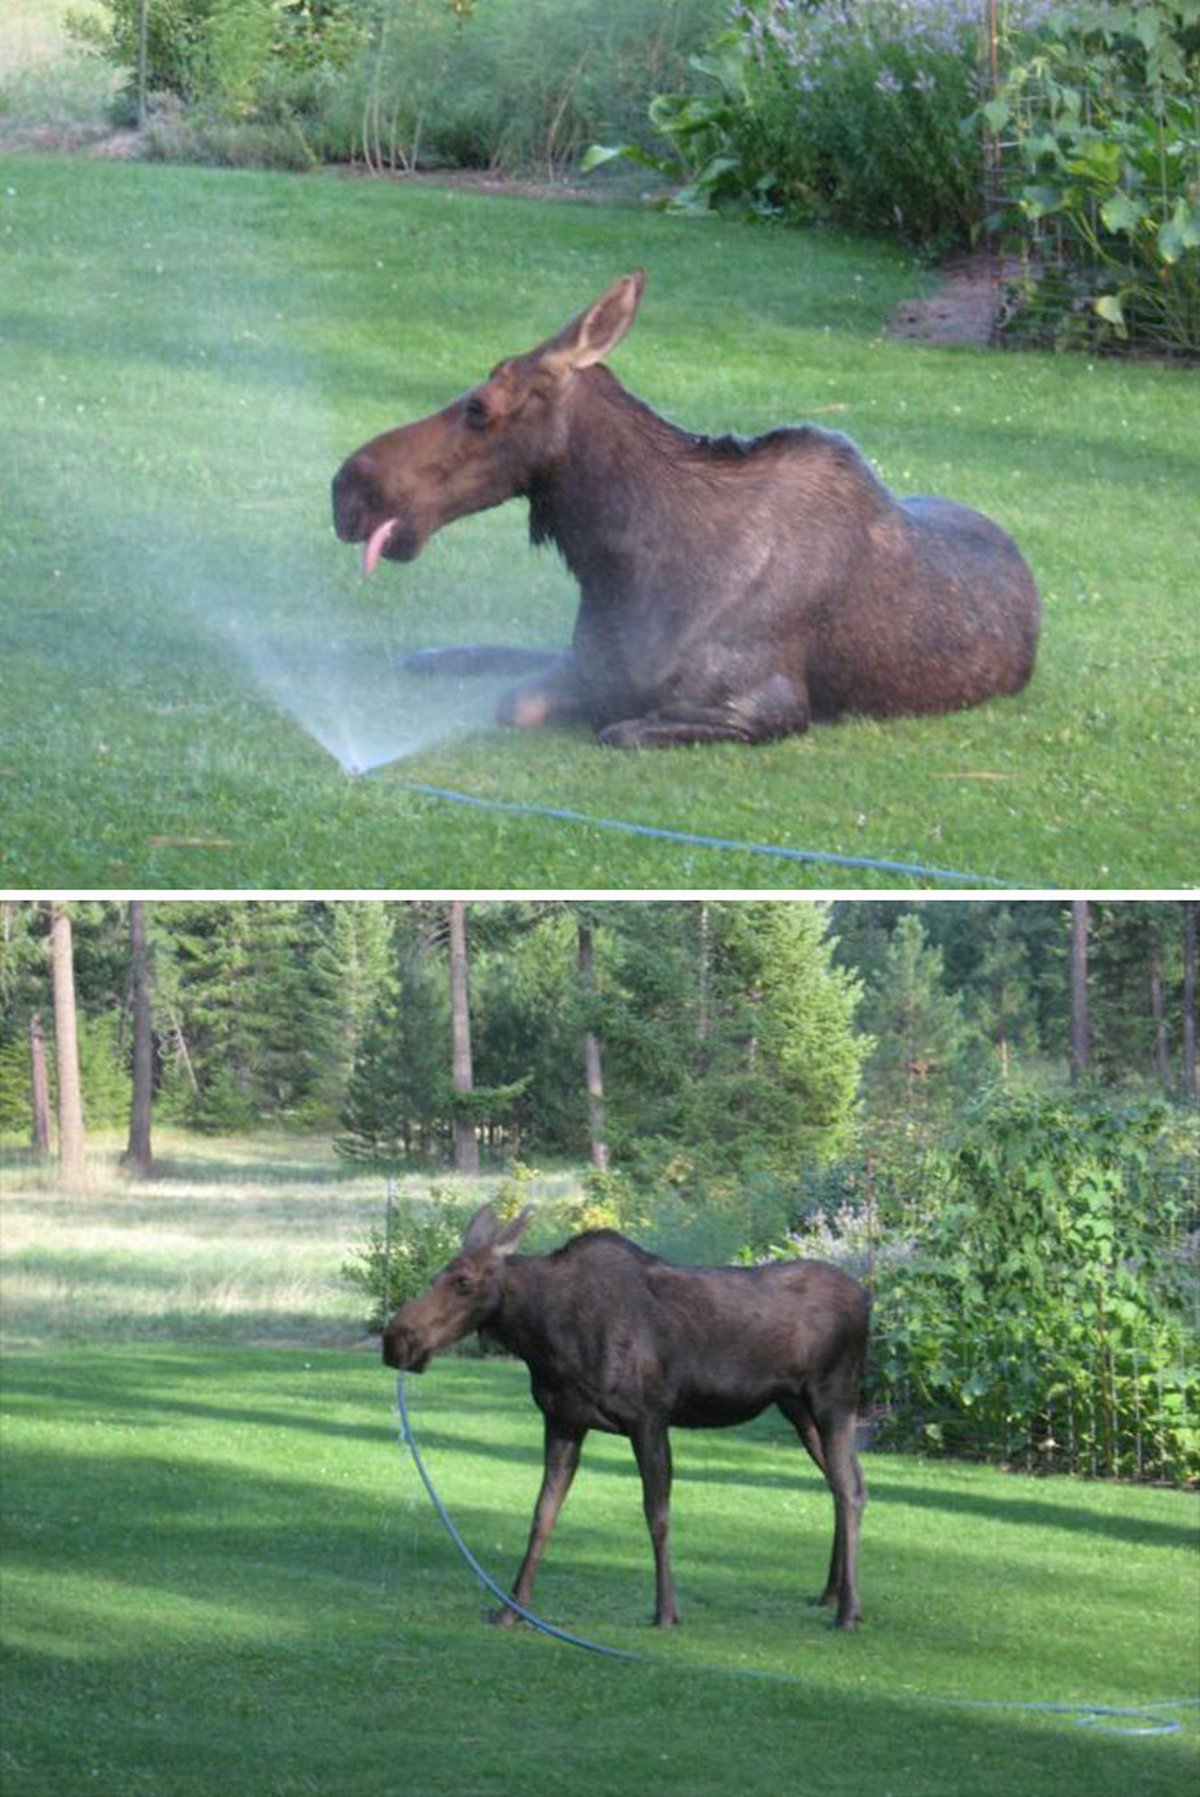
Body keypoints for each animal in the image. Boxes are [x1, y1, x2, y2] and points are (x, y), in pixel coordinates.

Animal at [330, 269, 1041, 747]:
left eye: (478, 408)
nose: (347, 488)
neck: (621, 569)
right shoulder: (585, 667)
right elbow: (521, 701)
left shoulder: (768, 707)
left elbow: (618, 729)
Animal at [384, 1207, 873, 1631]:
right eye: (435, 1276)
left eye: (463, 1281)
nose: (396, 1340)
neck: (544, 1339)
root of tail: (868, 1297)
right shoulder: (563, 1422)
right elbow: (542, 1514)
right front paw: (511, 1609)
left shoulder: (648, 1418)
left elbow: (657, 1513)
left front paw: (666, 1611)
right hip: (798, 1408)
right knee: (848, 1483)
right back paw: (833, 1593)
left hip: (833, 1398)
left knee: (847, 1489)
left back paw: (847, 1611)